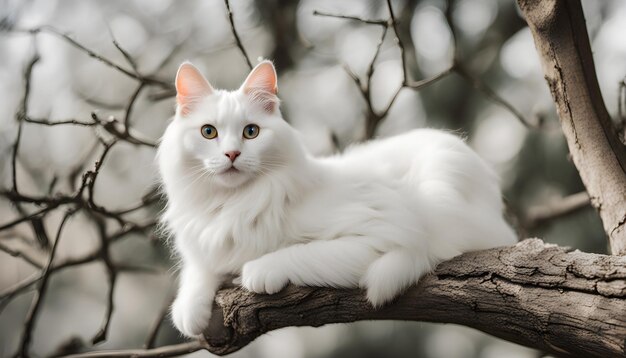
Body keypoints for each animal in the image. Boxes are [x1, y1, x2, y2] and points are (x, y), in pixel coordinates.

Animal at [157, 60, 516, 338]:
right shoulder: (205, 246)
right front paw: (190, 310)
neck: (235, 204)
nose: (232, 154)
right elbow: (197, 274)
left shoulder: (382, 232)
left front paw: (256, 270)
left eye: (251, 132)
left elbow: (298, 252)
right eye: (208, 132)